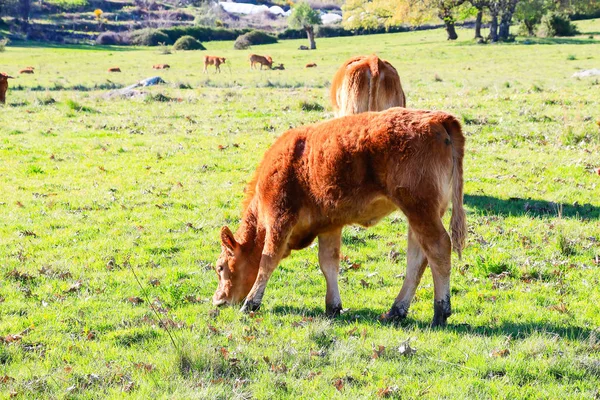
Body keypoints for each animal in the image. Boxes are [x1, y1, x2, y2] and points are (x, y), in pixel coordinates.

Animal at [212, 107, 468, 328]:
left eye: (220, 267)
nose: (218, 300)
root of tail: (438, 118)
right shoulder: (329, 226)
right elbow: (329, 264)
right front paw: (333, 307)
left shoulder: (279, 217)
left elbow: (268, 259)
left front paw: (251, 302)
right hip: (418, 215)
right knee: (417, 258)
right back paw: (396, 311)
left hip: (420, 210)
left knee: (438, 248)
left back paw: (440, 312)